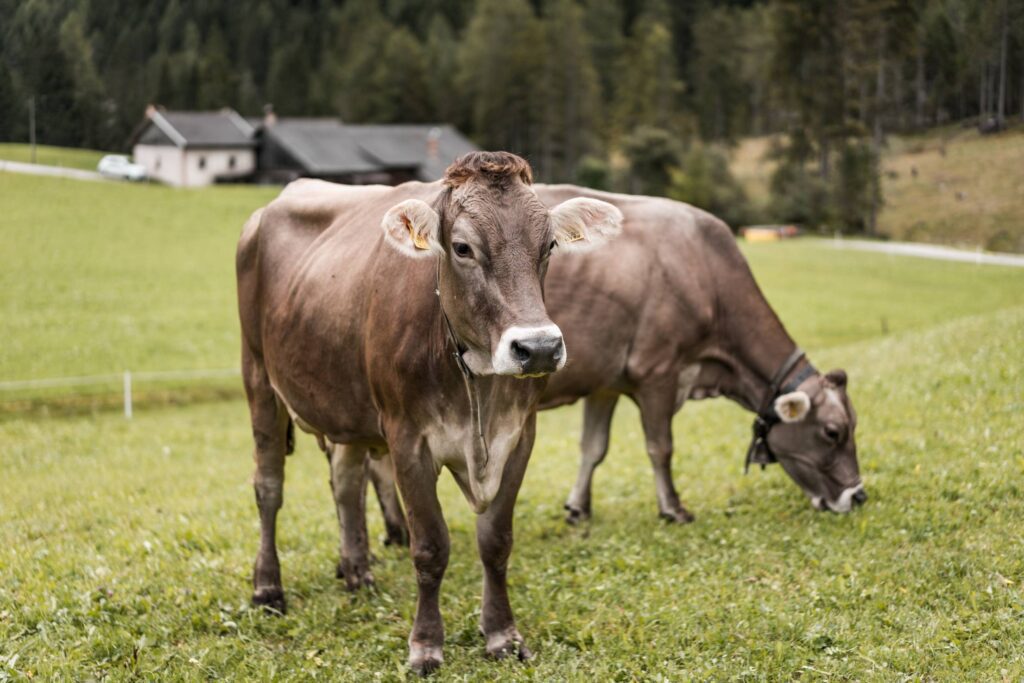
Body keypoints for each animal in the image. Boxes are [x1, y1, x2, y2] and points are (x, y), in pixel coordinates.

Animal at [235, 152, 618, 675]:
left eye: (550, 244)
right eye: (462, 248)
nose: (538, 348)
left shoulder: (519, 436)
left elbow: (496, 541)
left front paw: (502, 635)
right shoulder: (407, 440)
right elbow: (431, 546)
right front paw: (425, 645)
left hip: (345, 408)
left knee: (346, 483)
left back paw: (357, 572)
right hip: (258, 378)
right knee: (268, 488)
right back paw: (267, 588)